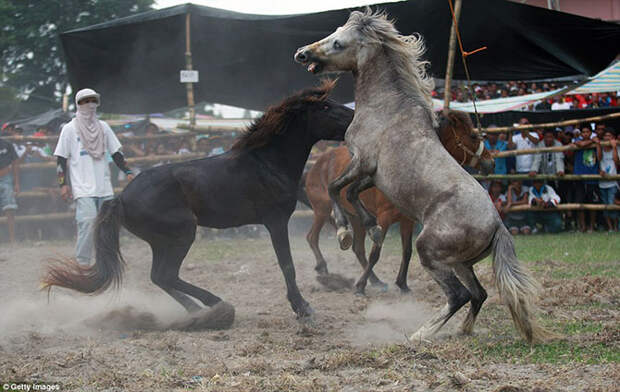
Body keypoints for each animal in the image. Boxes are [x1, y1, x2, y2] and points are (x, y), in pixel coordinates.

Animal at [300, 110, 494, 294]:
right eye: (473, 136)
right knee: (313, 237)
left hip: (354, 218)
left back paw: (375, 280)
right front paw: (361, 287)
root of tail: (315, 165)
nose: (490, 162)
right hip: (322, 211)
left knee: (358, 248)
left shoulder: (406, 220)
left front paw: (402, 284)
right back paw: (328, 265)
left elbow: (407, 251)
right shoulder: (384, 219)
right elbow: (376, 253)